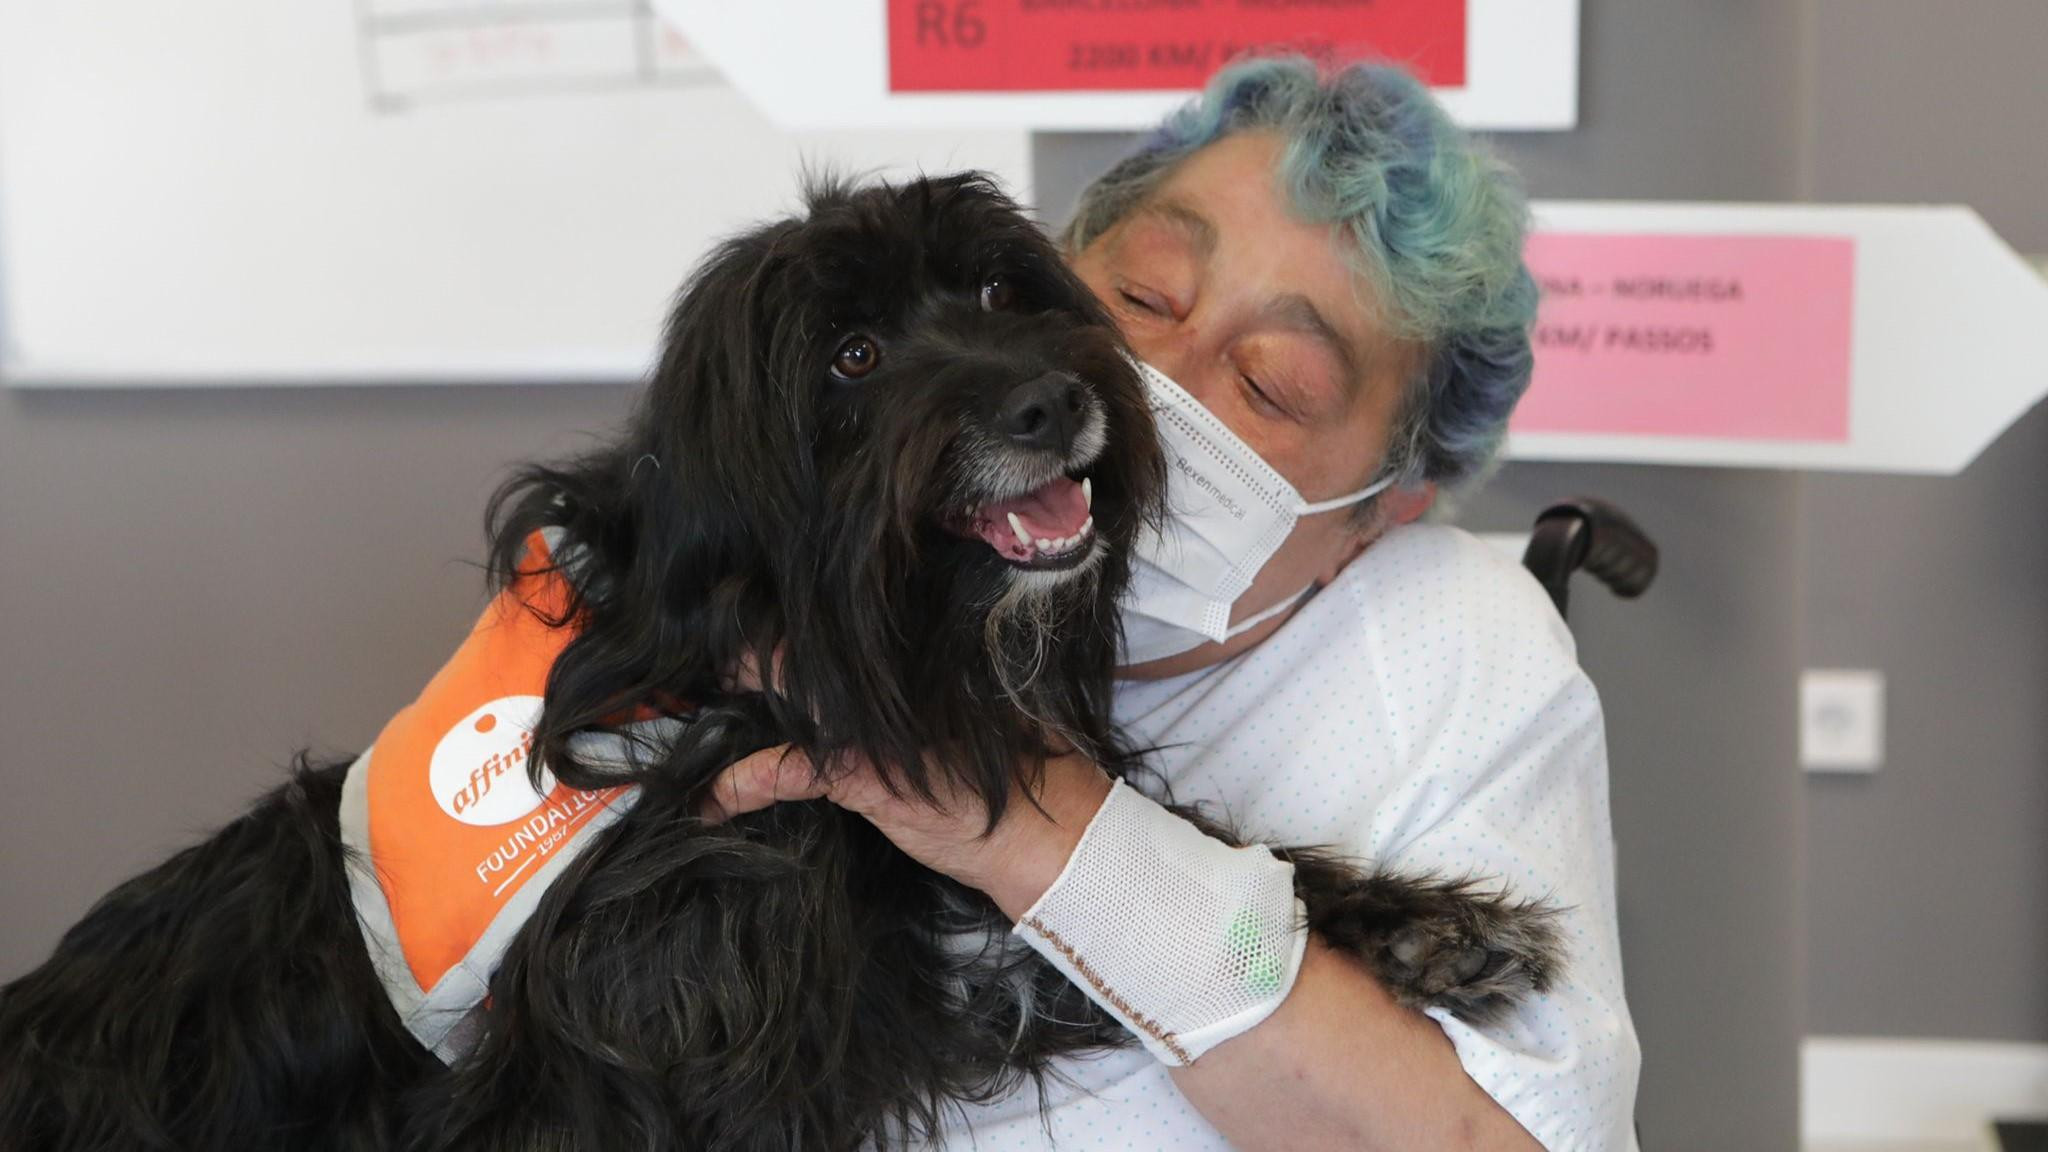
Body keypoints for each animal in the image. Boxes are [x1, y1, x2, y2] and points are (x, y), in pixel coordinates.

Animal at [0, 172, 1556, 1147]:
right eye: (852, 357)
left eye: (1003, 289)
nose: (1052, 399)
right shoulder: (653, 1046)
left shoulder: (896, 929)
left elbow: (1121, 897)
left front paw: (1421, 921)